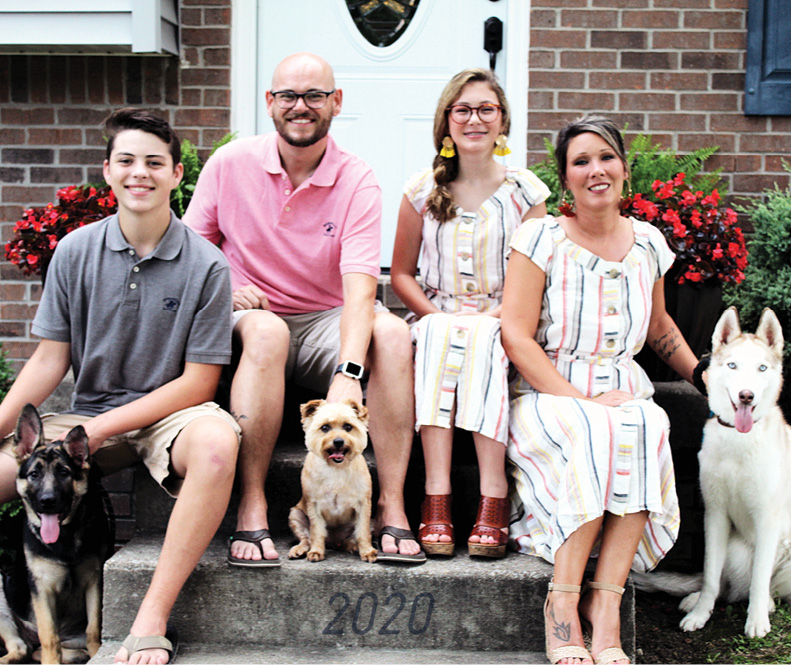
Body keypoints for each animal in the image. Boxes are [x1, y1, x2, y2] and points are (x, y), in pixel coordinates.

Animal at [0, 402, 112, 660]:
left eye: (64, 473)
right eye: (34, 474)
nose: (47, 501)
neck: (65, 539)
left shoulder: (94, 581)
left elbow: (94, 628)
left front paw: (96, 653)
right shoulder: (42, 589)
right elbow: (50, 637)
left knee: (30, 650)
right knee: (24, 647)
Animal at [290, 400, 378, 560]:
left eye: (348, 427)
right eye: (325, 428)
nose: (338, 441)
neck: (336, 467)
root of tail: (335, 542)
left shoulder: (364, 505)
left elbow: (362, 531)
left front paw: (367, 551)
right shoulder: (313, 505)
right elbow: (316, 531)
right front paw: (316, 551)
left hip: (372, 521)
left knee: (353, 536)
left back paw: (352, 545)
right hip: (295, 515)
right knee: (306, 538)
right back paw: (299, 549)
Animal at [636, 306, 791, 640]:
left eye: (761, 368)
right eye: (732, 365)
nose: (746, 396)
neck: (738, 440)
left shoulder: (767, 518)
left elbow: (760, 578)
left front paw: (756, 620)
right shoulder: (715, 514)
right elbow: (709, 575)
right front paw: (699, 613)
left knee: (766, 586)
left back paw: (768, 605)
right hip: (735, 550)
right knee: (726, 585)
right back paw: (694, 598)